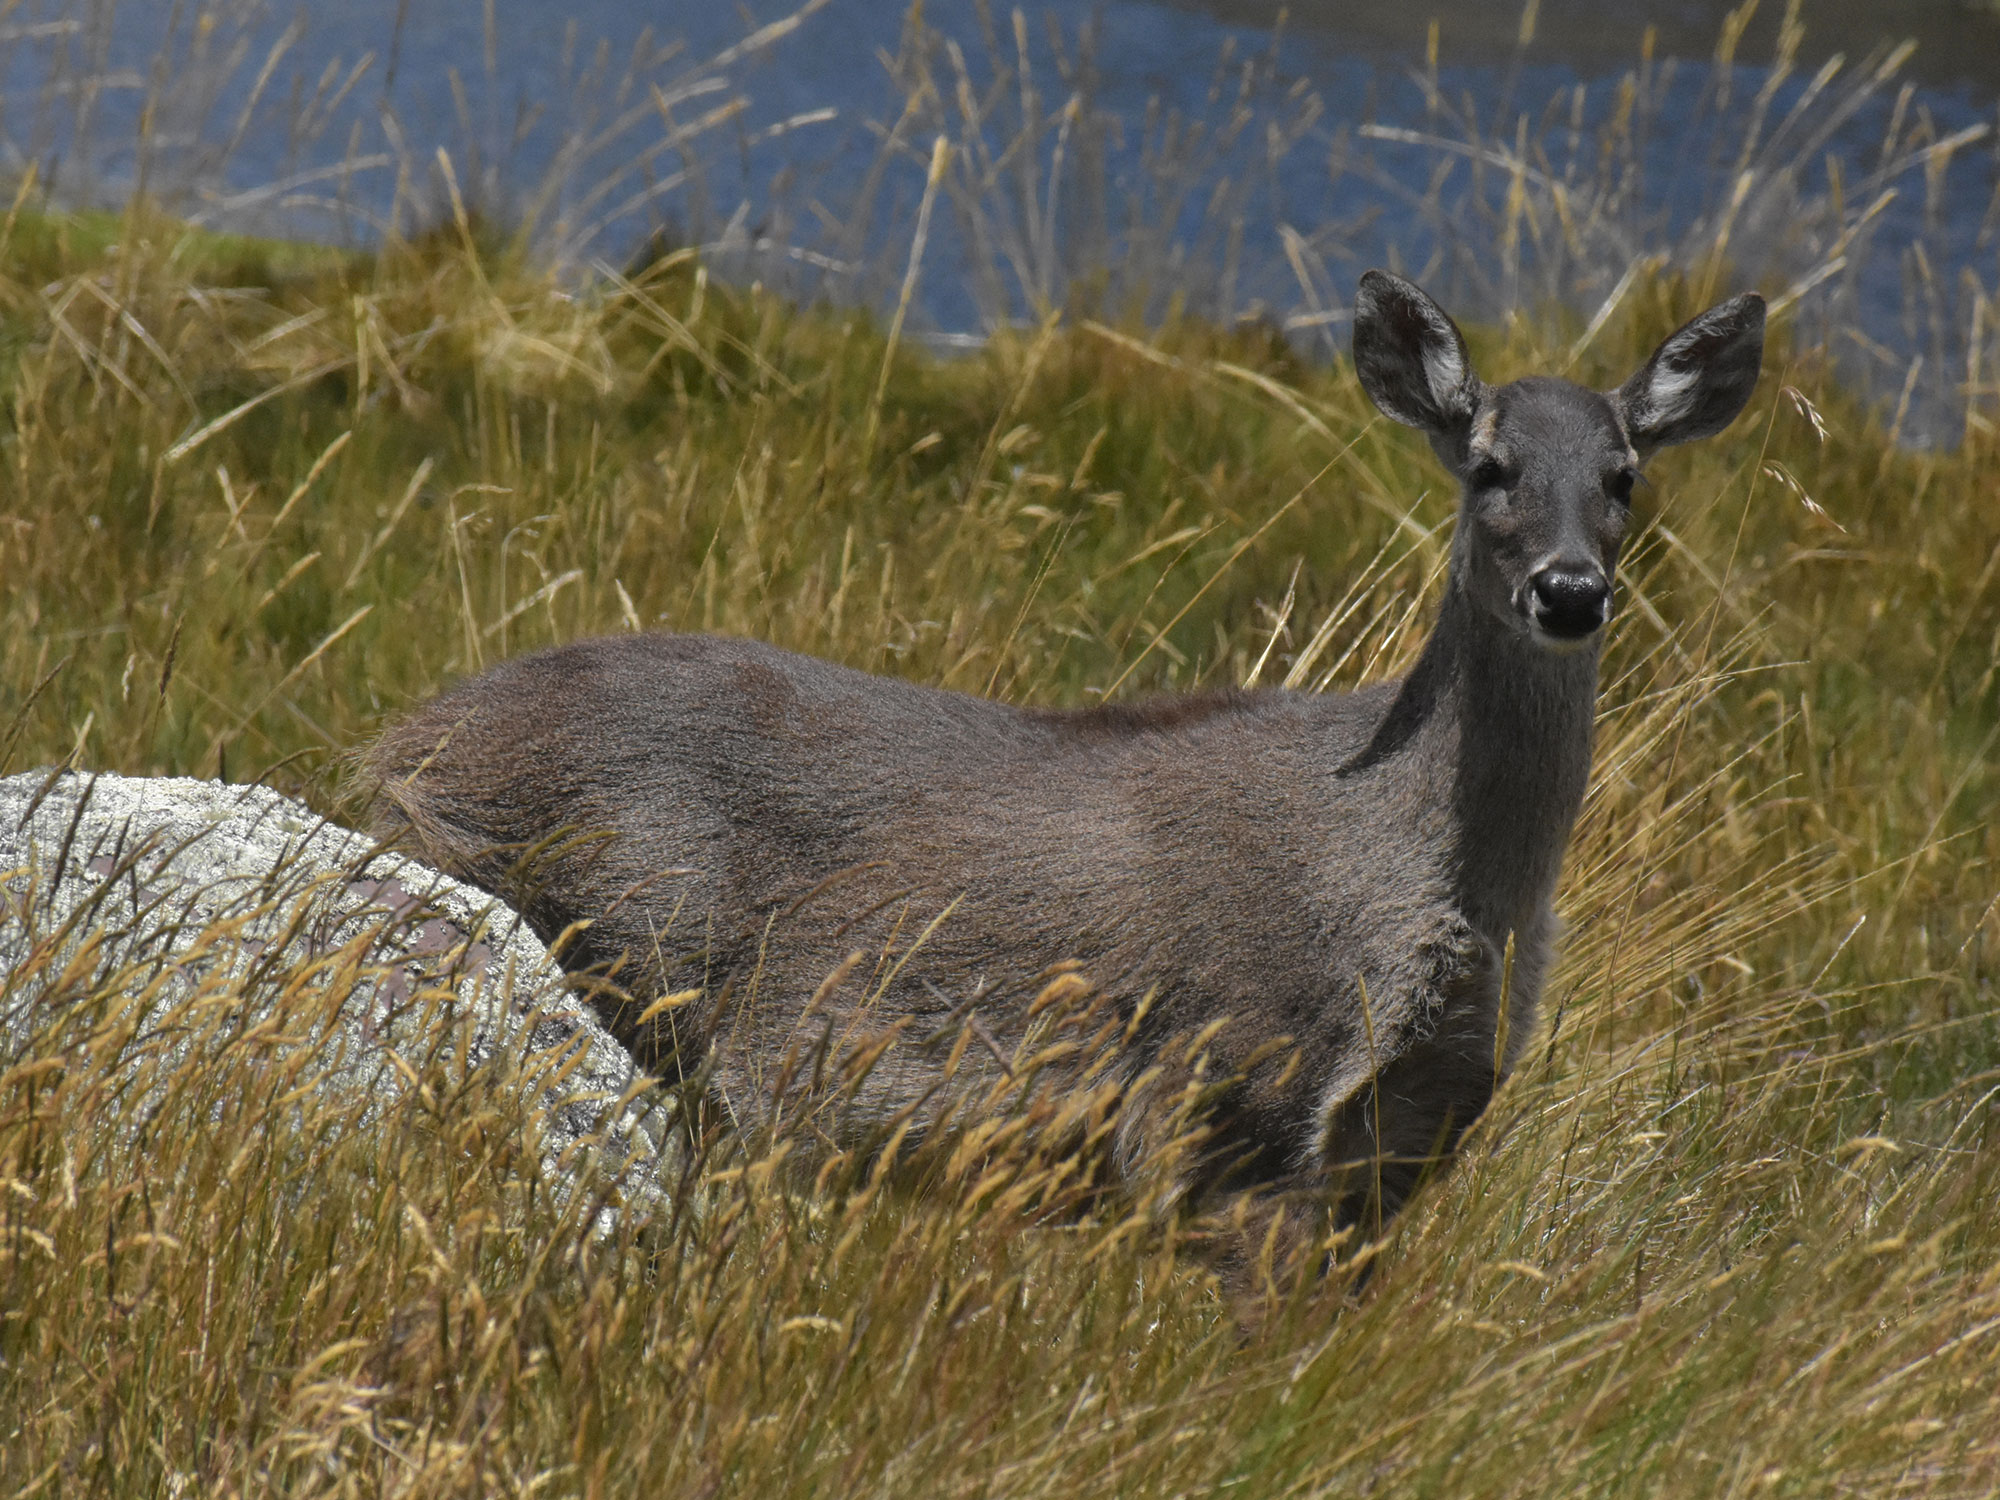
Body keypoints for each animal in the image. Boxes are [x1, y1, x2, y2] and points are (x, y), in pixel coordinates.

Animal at [364, 268, 1768, 1280]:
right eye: (1487, 468)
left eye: (1622, 476)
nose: (1569, 590)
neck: (1416, 875)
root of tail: (394, 748)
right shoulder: (1225, 1105)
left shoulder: (1401, 1148)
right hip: (623, 961)